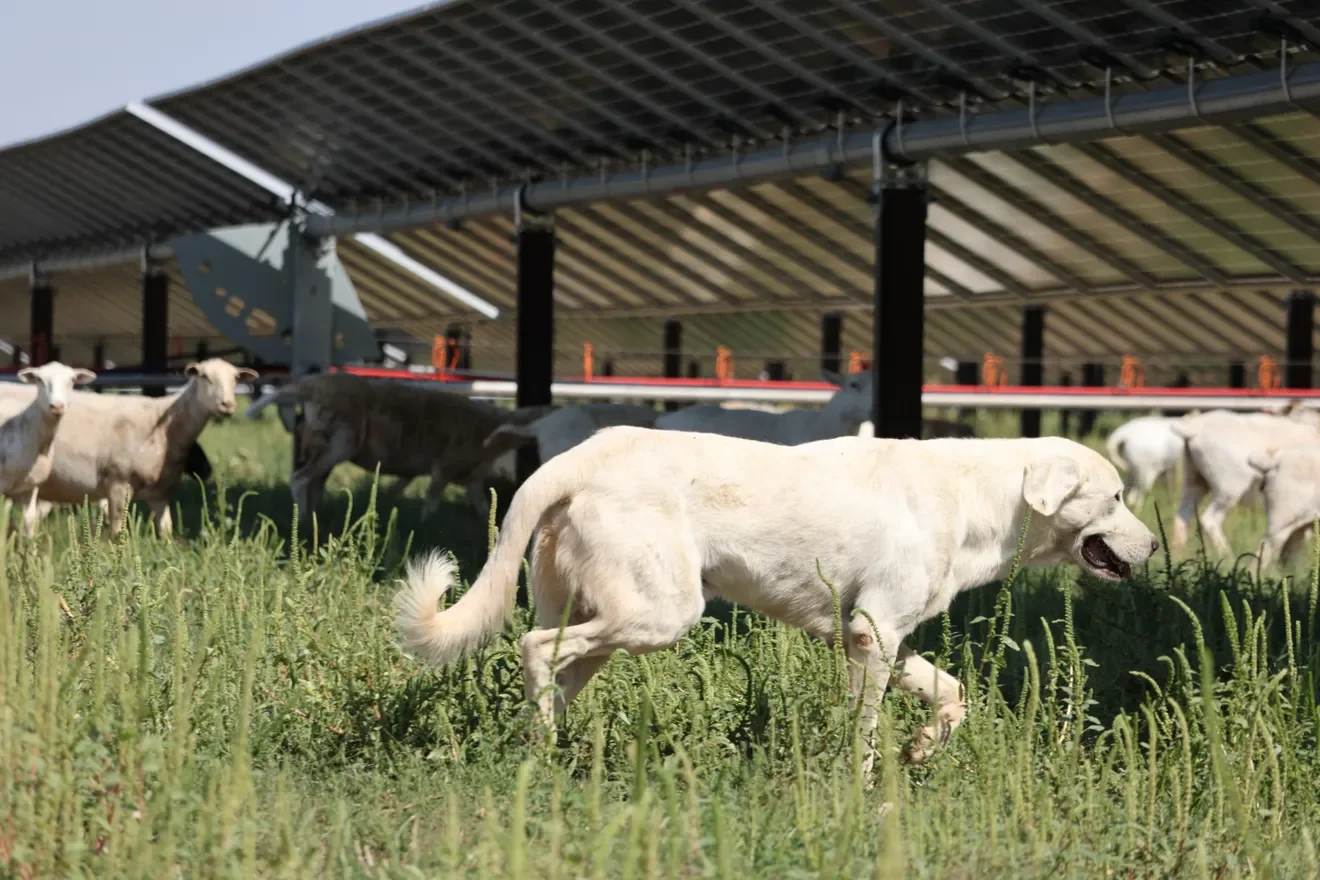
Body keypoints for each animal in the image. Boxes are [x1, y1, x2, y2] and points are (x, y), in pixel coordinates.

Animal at [244, 373, 552, 520]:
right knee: (300, 479)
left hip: (325, 447)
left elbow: (482, 506)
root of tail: (309, 387)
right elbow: (431, 500)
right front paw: (425, 526)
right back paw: (305, 520)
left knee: (314, 482)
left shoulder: (472, 480)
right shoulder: (443, 467)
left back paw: (316, 516)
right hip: (339, 443)